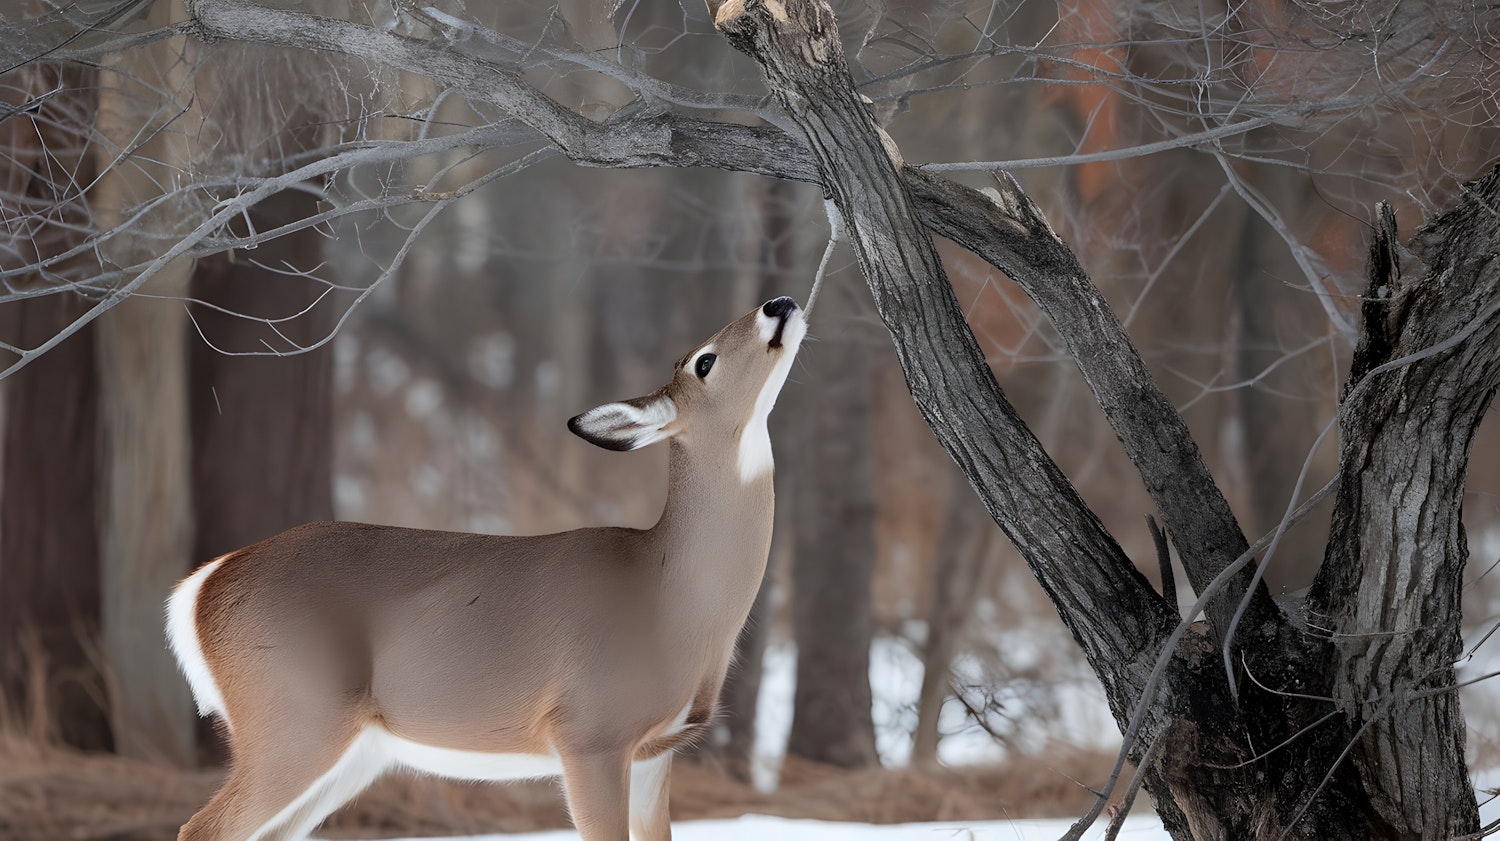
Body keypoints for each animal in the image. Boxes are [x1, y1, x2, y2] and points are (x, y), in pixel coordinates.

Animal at [164, 296, 810, 839]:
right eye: (705, 361)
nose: (779, 302)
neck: (670, 596)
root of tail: (198, 587)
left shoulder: (658, 750)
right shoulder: (590, 731)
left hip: (351, 749)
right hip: (294, 712)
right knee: (201, 828)